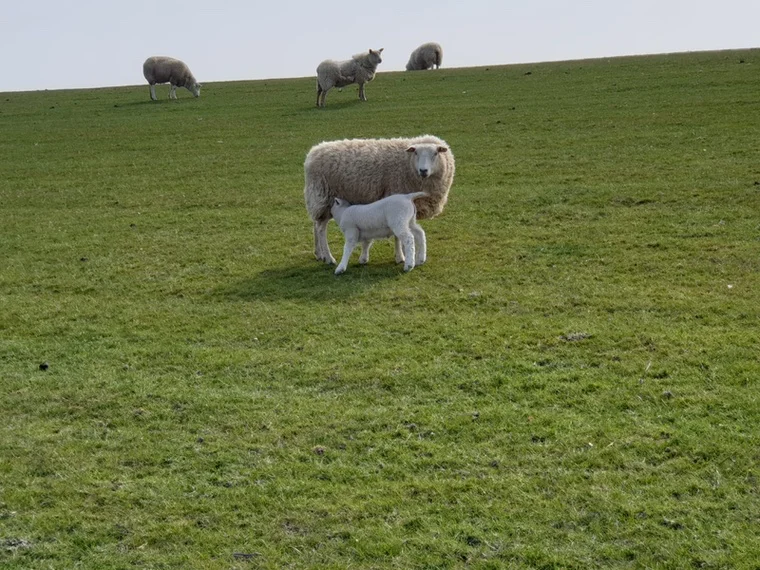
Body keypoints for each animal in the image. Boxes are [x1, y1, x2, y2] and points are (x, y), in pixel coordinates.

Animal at [304, 135, 455, 265]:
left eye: (435, 153)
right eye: (416, 153)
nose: (423, 170)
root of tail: (313, 152)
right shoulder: (394, 196)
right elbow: (397, 235)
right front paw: (401, 257)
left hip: (320, 202)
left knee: (316, 225)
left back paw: (319, 254)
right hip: (322, 197)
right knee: (321, 229)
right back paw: (329, 258)